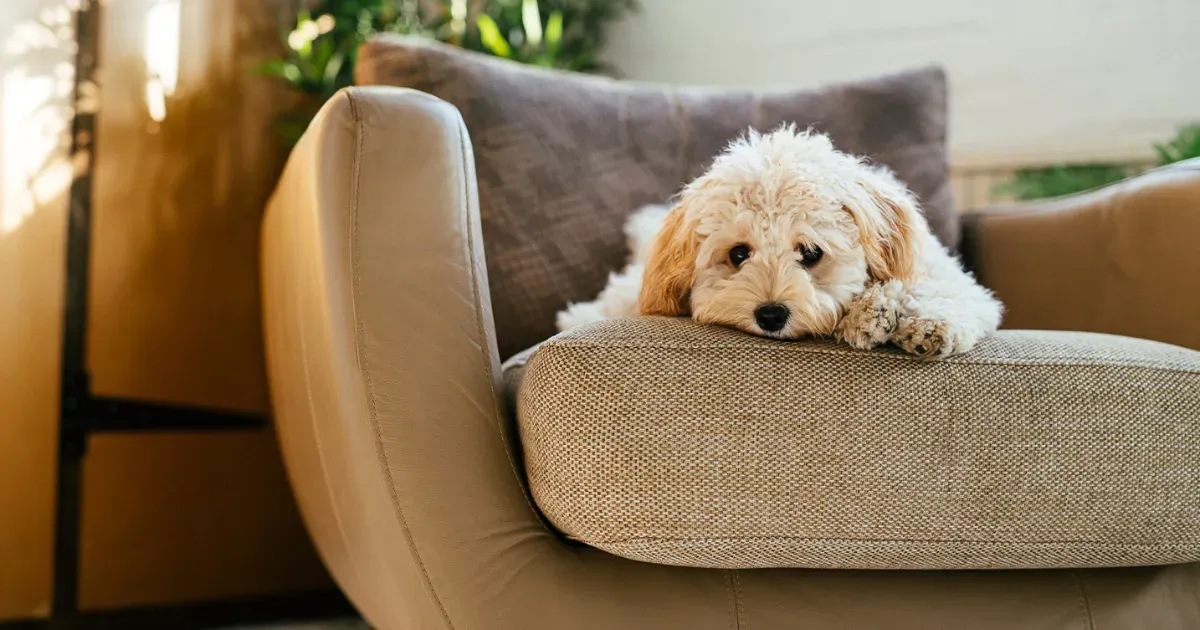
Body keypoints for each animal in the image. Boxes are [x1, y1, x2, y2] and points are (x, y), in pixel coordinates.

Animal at [561, 125, 1003, 355]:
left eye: (811, 252)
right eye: (739, 253)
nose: (771, 315)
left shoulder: (947, 276)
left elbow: (944, 293)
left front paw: (916, 320)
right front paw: (875, 315)